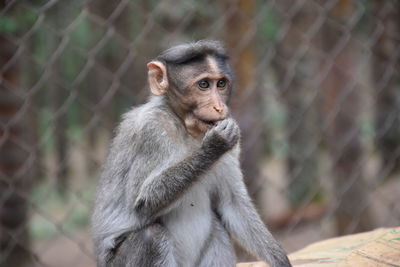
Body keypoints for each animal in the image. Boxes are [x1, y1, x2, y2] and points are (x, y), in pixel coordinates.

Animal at [90, 40, 290, 267]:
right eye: (203, 85)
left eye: (221, 84)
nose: (219, 107)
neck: (185, 127)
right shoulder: (151, 130)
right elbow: (143, 203)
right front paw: (214, 145)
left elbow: (232, 202)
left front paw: (280, 260)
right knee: (151, 235)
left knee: (218, 229)